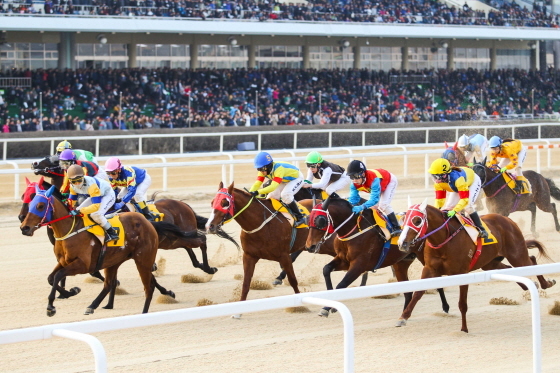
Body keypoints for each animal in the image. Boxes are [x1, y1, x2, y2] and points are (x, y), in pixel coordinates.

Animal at [20, 185, 202, 316]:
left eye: (40, 205)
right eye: (29, 202)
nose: (24, 227)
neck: (69, 231)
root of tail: (148, 222)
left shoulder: (82, 264)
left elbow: (58, 276)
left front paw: (52, 307)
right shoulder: (64, 261)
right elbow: (51, 278)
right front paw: (70, 292)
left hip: (144, 258)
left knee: (148, 285)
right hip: (114, 260)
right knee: (109, 283)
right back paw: (93, 306)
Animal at [304, 196, 448, 316]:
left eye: (320, 220)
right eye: (308, 219)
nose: (310, 246)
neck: (354, 229)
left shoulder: (359, 265)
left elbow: (341, 285)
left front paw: (329, 307)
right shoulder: (343, 260)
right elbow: (326, 269)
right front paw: (328, 305)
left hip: (426, 259)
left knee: (436, 280)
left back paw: (445, 307)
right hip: (401, 262)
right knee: (407, 292)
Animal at [398, 201, 556, 332]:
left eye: (417, 220)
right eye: (404, 219)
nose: (402, 243)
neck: (444, 239)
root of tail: (508, 219)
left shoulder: (462, 273)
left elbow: (462, 304)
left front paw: (464, 329)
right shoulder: (430, 269)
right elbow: (418, 293)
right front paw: (403, 317)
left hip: (516, 254)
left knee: (531, 260)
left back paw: (546, 283)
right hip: (490, 263)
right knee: (511, 269)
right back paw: (531, 285)